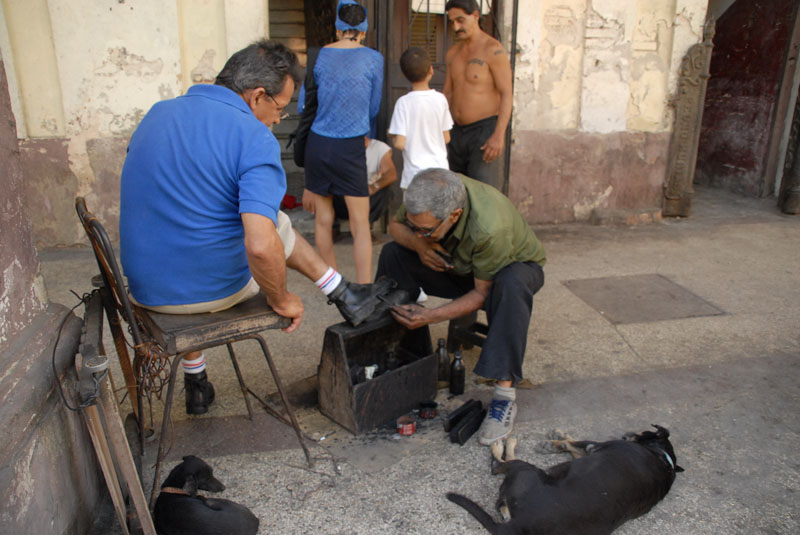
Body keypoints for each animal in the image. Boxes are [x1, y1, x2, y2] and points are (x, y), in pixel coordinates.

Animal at [446, 428, 684, 535]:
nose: (628, 432)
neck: (664, 458)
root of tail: (518, 523)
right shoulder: (587, 452)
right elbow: (571, 445)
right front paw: (557, 439)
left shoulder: (593, 447)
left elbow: (574, 443)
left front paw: (555, 440)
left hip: (527, 470)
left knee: (498, 465)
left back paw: (502, 446)